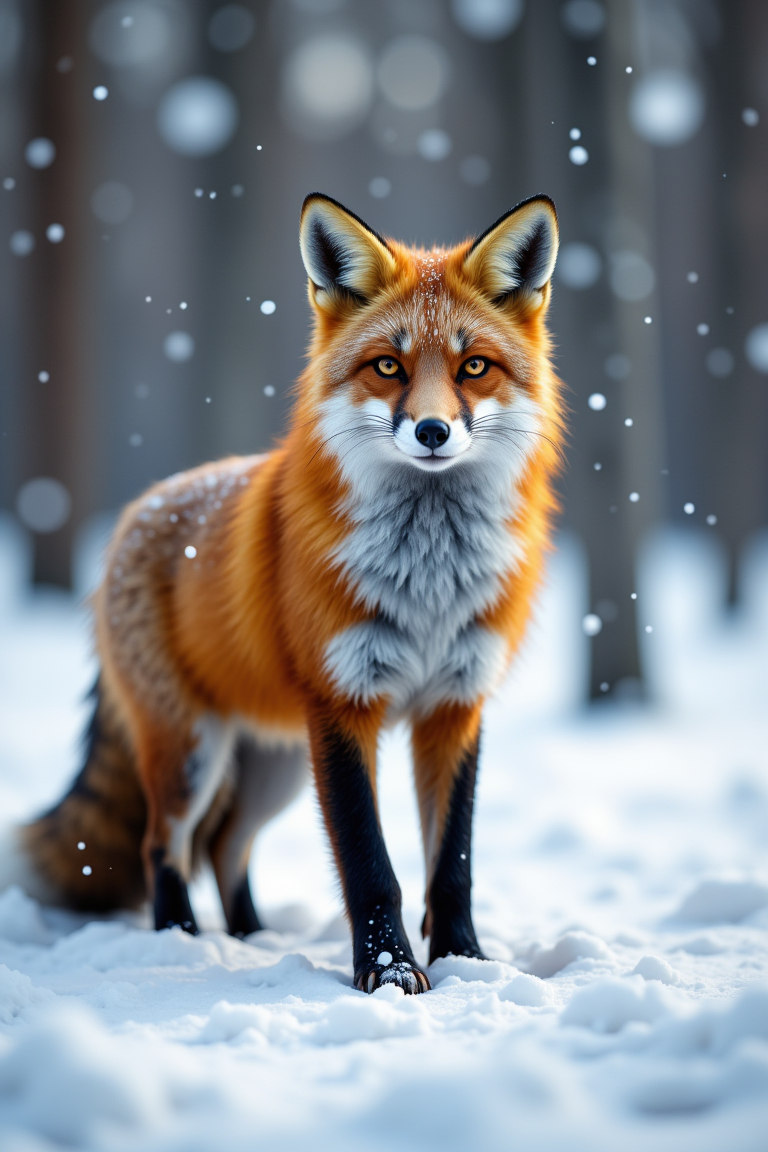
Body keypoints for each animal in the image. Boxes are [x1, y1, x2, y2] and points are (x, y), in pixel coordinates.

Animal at [10, 192, 563, 994]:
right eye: (388, 366)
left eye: (474, 367)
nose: (432, 430)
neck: (428, 582)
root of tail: (139, 510)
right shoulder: (342, 706)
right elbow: (370, 864)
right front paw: (390, 974)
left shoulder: (456, 705)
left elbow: (451, 863)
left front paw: (466, 961)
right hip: (192, 751)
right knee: (163, 845)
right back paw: (181, 941)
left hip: (272, 765)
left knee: (225, 845)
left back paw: (251, 935)